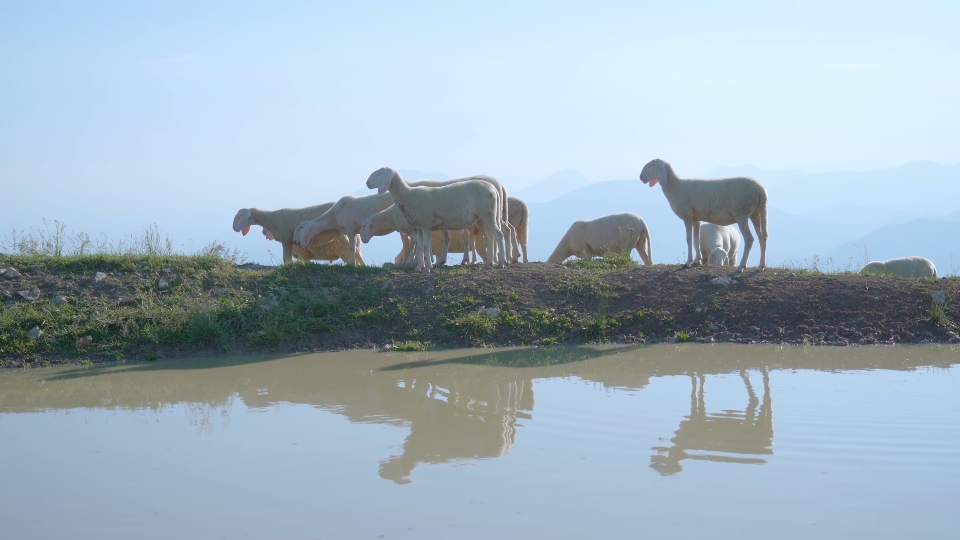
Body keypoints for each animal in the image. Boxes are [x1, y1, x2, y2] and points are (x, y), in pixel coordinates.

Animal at [366, 167, 506, 273]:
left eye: (381, 173)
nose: (367, 183)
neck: (408, 195)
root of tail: (494, 188)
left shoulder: (426, 223)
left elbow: (426, 245)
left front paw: (427, 267)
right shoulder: (419, 226)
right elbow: (420, 246)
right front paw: (419, 267)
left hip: (488, 214)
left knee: (499, 235)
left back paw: (501, 263)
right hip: (481, 218)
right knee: (490, 237)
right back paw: (488, 265)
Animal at [639, 159, 768, 272]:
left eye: (653, 164)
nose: (640, 177)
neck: (675, 186)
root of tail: (761, 189)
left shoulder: (687, 215)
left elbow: (689, 238)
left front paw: (688, 262)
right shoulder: (695, 218)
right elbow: (696, 238)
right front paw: (697, 260)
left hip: (741, 211)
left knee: (749, 239)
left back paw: (741, 267)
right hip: (756, 212)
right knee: (762, 237)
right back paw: (761, 266)